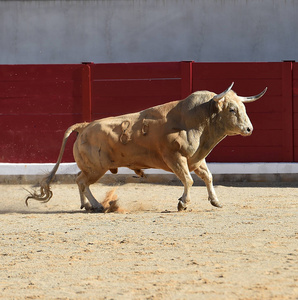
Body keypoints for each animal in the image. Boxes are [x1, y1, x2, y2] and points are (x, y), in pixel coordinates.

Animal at [26, 82, 266, 211]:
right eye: (232, 110)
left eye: (243, 107)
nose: (249, 129)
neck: (197, 120)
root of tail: (84, 125)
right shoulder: (175, 157)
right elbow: (188, 180)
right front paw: (182, 203)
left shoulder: (196, 159)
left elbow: (208, 177)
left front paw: (215, 201)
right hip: (96, 168)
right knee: (82, 181)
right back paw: (97, 205)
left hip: (92, 167)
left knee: (79, 179)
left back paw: (87, 205)